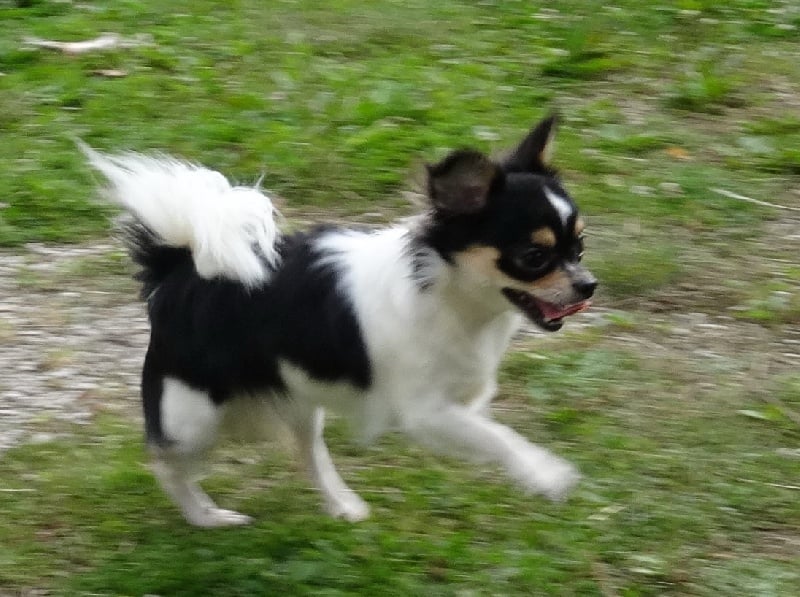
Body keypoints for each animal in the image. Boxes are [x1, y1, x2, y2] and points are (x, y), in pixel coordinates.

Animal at [81, 115, 596, 527]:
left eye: (580, 247)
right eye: (533, 257)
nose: (588, 285)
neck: (455, 298)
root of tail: (178, 267)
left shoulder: (462, 402)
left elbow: (490, 432)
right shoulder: (426, 413)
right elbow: (502, 438)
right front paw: (545, 473)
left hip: (298, 397)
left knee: (306, 451)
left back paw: (341, 505)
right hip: (194, 416)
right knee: (165, 463)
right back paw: (206, 517)